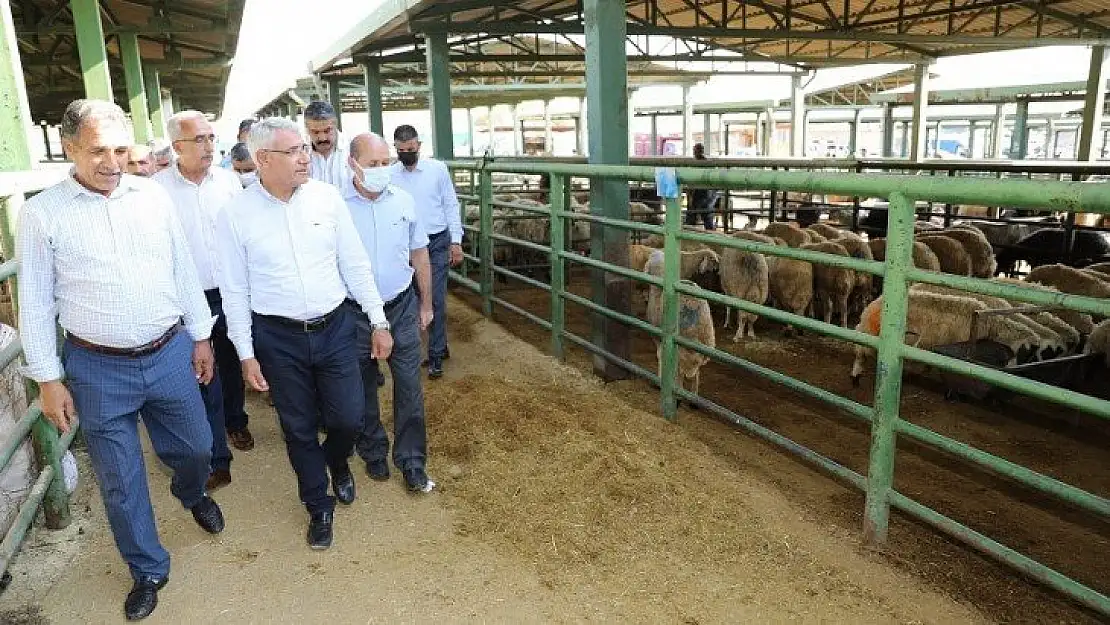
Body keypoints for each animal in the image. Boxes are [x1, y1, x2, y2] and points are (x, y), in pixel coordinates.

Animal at [848, 293, 1038, 386]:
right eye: (1025, 353)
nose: (1013, 372)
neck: (993, 325)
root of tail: (875, 303)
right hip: (870, 333)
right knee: (860, 352)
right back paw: (856, 375)